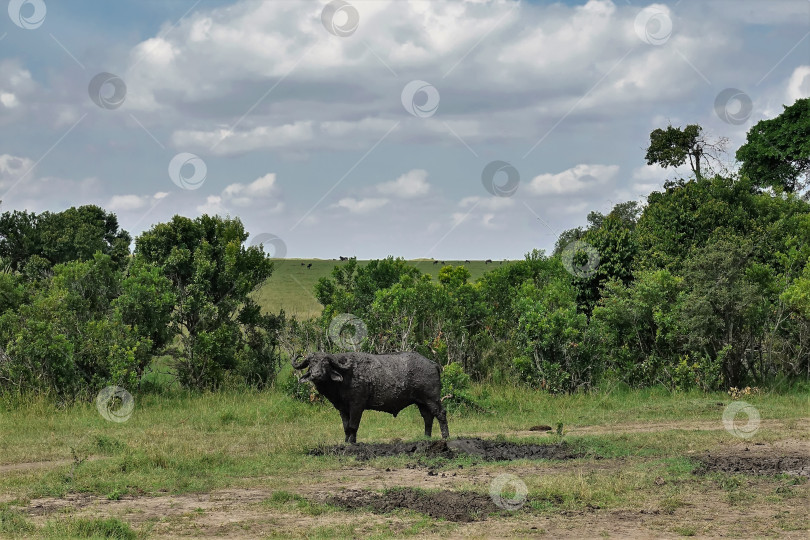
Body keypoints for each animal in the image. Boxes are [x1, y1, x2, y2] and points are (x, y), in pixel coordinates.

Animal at [294, 350, 452, 442]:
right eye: (310, 364)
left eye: (325, 363)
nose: (316, 375)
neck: (345, 376)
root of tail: (432, 364)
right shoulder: (342, 408)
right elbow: (345, 426)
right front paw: (345, 442)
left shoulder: (357, 406)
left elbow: (353, 425)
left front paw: (352, 443)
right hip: (421, 402)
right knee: (427, 417)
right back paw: (426, 438)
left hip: (432, 399)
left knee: (441, 414)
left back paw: (445, 437)